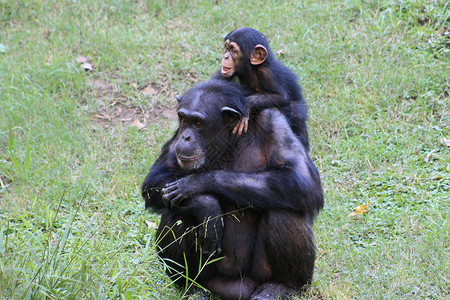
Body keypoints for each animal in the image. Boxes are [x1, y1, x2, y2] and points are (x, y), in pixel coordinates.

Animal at [142, 78, 322, 298]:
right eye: (183, 120)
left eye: (198, 123)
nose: (186, 138)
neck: (229, 139)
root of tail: (237, 288)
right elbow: (156, 179)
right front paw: (207, 206)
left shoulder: (274, 122)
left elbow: (301, 178)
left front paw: (194, 183)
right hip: (213, 279)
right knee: (175, 214)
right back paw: (193, 288)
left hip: (259, 275)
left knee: (284, 212)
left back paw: (281, 286)